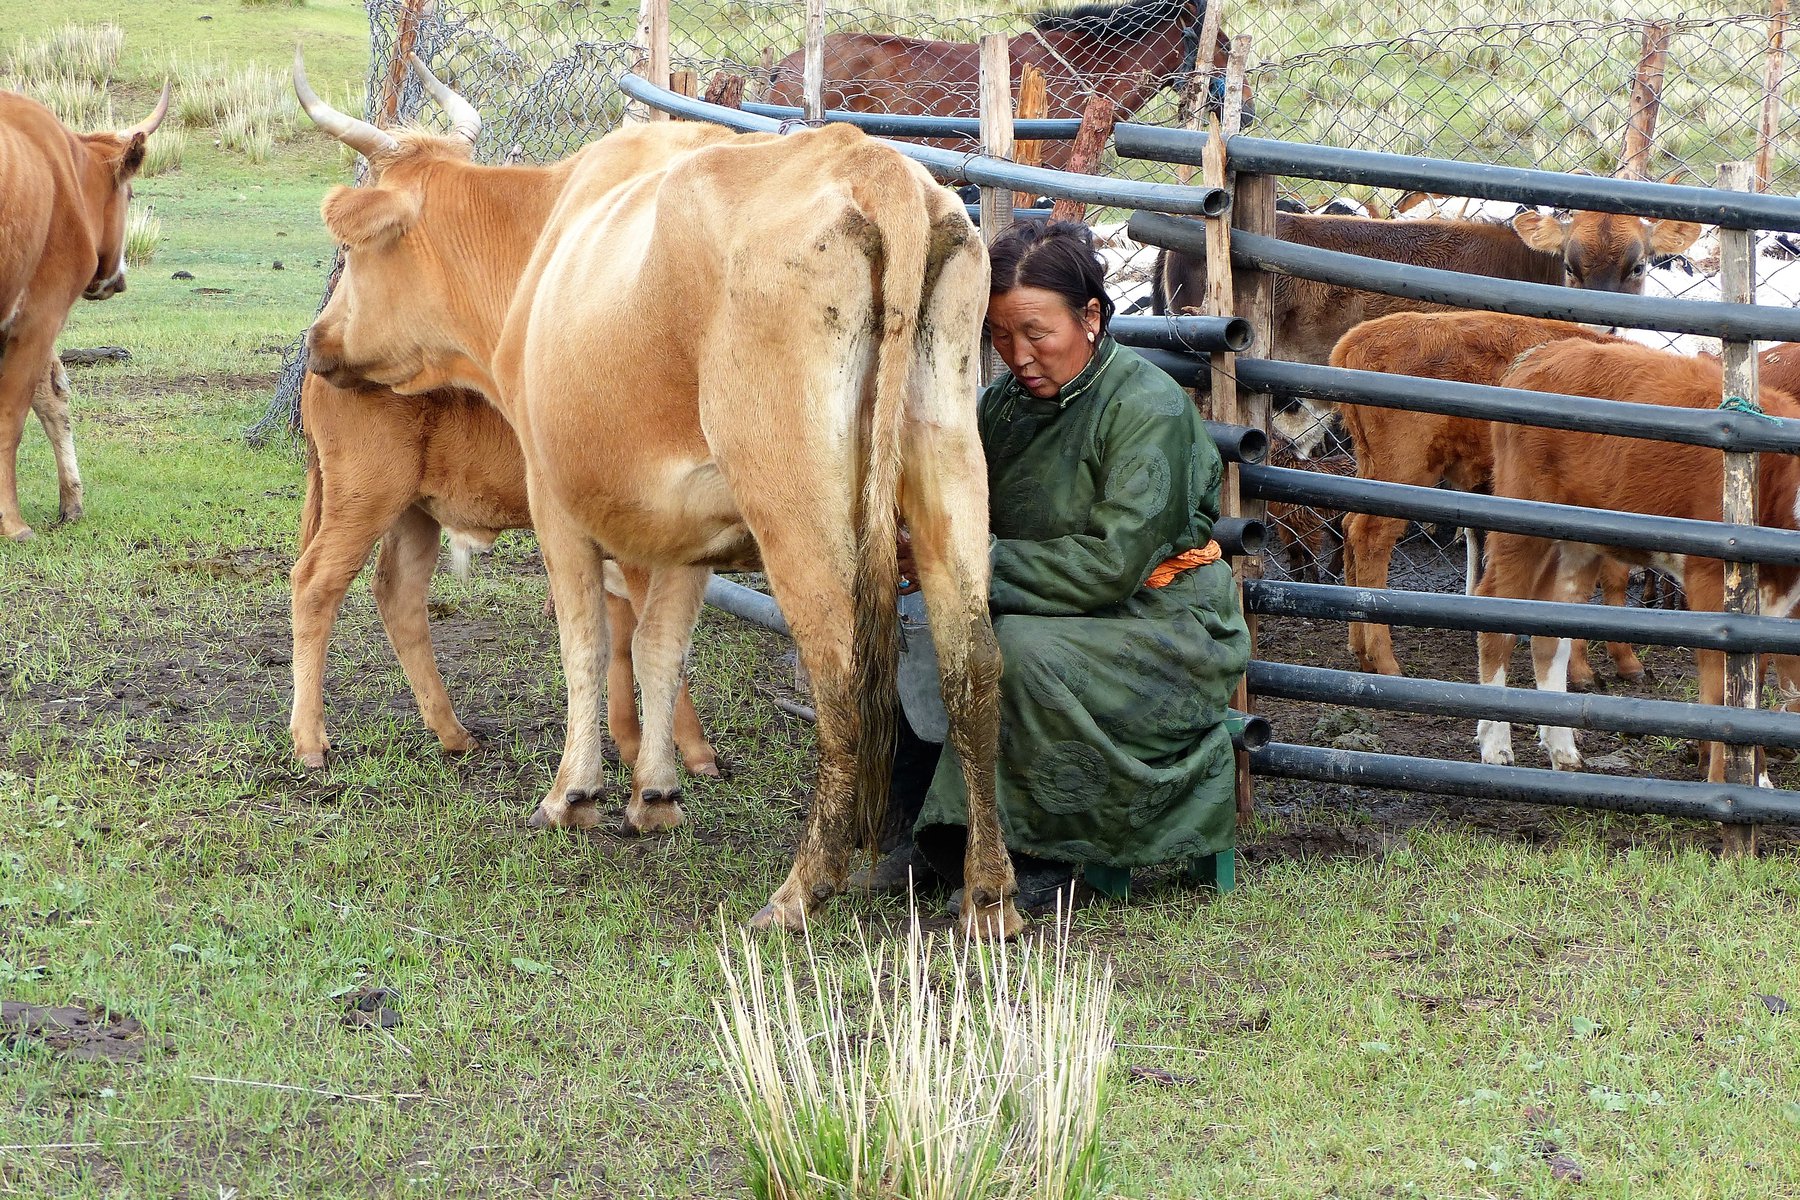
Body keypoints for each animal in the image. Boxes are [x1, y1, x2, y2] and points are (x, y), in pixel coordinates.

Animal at [289, 376, 716, 780]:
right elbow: (662, 643)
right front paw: (697, 752)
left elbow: (622, 644)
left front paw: (630, 744)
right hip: (367, 500)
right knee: (314, 584)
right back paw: (310, 742)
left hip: (413, 513)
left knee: (398, 593)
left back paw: (453, 733)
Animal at [1339, 309, 1648, 683]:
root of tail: (1356, 340)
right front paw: (1590, 668)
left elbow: (1610, 578)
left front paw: (1623, 662)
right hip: (1404, 471)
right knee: (1370, 536)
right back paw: (1385, 661)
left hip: (1372, 468)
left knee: (1349, 525)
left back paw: (1361, 652)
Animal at [1476, 341, 1800, 784]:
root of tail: (1545, 350)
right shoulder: (1710, 583)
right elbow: (1723, 690)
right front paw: (1726, 778)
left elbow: (1752, 683)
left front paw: (1759, 778)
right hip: (1520, 522)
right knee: (1495, 613)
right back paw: (1496, 747)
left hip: (1576, 545)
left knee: (1549, 633)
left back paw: (1564, 752)